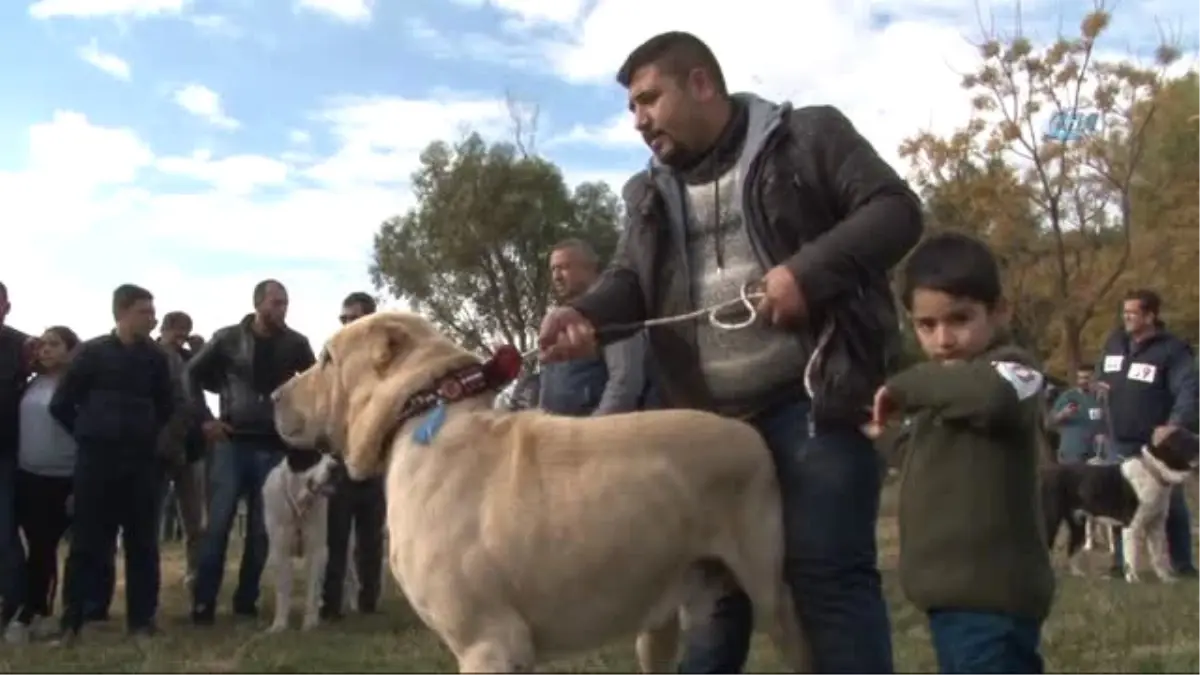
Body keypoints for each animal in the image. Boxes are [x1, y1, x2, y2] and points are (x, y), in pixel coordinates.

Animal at [261, 449, 338, 629]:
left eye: (332, 455)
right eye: (315, 457)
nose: (335, 467)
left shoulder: (317, 551)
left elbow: (312, 590)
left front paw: (309, 624)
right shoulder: (280, 551)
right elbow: (282, 589)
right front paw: (279, 625)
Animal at [272, 312, 811, 667]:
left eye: (327, 359)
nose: (274, 394)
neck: (420, 412)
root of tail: (748, 431)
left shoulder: (487, 643)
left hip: (773, 597)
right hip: (664, 617)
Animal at [1041, 427, 1200, 581]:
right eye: (1185, 438)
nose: (1198, 438)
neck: (1153, 471)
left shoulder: (1156, 526)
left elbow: (1158, 555)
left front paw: (1165, 578)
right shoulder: (1131, 527)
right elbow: (1132, 557)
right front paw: (1133, 580)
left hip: (1078, 524)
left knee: (1071, 549)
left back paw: (1077, 573)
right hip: (1052, 521)